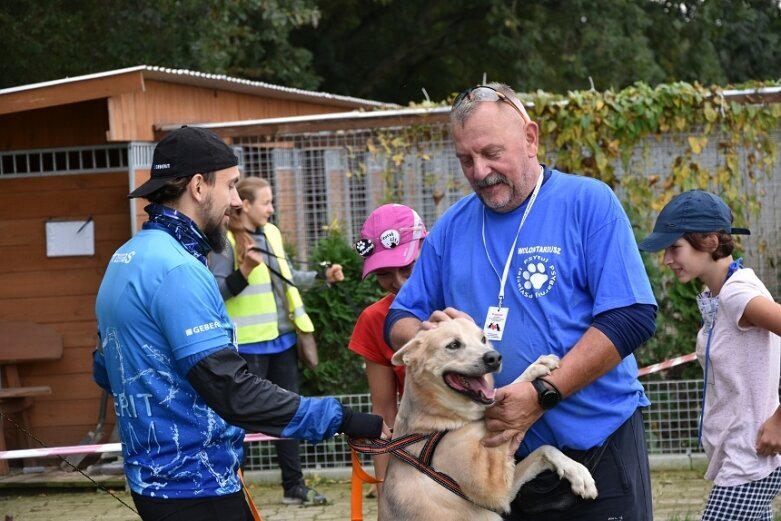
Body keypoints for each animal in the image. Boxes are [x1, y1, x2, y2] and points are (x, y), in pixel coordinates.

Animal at [382, 318, 596, 516]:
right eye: (453, 345)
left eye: (483, 339)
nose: (495, 357)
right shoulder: (491, 487)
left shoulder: (504, 492)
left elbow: (544, 449)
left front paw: (577, 472)